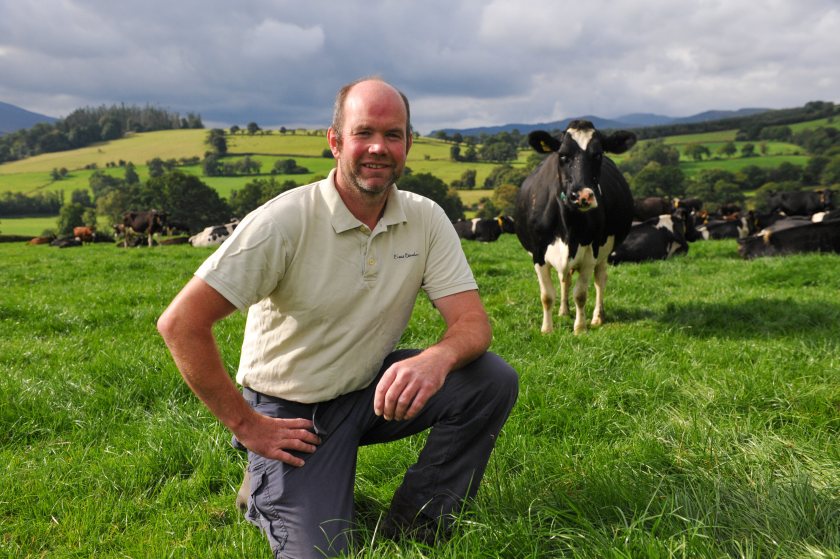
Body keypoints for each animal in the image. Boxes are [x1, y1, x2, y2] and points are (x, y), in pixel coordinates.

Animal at [512, 121, 636, 332]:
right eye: (562, 155)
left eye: (598, 154)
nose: (583, 196)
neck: (568, 228)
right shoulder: (538, 253)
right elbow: (547, 295)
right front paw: (547, 329)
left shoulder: (590, 253)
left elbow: (581, 294)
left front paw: (580, 328)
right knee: (566, 279)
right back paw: (563, 311)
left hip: (604, 251)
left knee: (600, 280)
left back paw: (597, 317)